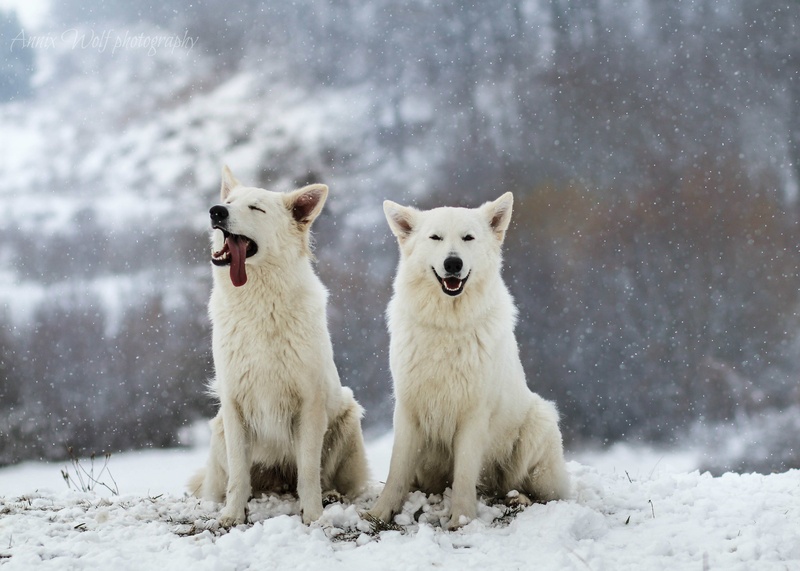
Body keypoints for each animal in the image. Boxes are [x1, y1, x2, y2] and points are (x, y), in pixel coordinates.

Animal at [189, 166, 368, 527]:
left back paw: (331, 496)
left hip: (347, 415)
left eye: (256, 208)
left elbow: (309, 472)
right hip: (218, 429)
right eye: (230, 201)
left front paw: (314, 516)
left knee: (325, 478)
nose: (216, 211)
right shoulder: (234, 405)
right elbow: (238, 476)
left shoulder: (309, 405)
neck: (260, 305)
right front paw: (232, 515)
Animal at [369, 192, 569, 529]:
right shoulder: (408, 408)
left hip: (539, 425)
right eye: (435, 238)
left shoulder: (473, 415)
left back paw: (517, 498)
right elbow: (396, 471)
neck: (447, 327)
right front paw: (379, 513)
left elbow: (464, 473)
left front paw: (461, 520)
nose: (453, 263)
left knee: (541, 493)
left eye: (468, 238)